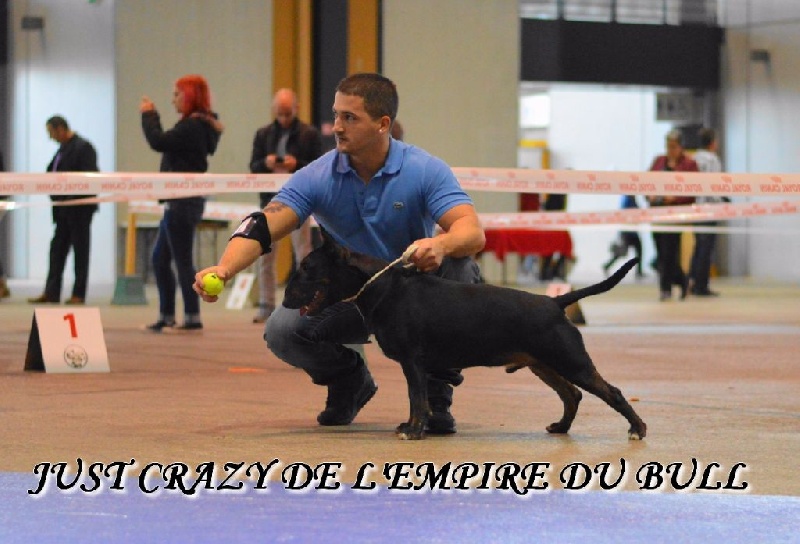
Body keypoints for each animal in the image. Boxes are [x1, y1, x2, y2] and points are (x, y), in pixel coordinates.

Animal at [283, 231, 647, 441]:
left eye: (307, 268)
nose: (285, 298)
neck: (385, 288)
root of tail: (555, 301)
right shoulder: (414, 364)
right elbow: (417, 399)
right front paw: (410, 426)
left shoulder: (412, 361)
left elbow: (418, 399)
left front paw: (414, 430)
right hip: (543, 364)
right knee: (572, 394)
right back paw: (561, 428)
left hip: (570, 360)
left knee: (610, 392)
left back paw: (637, 429)